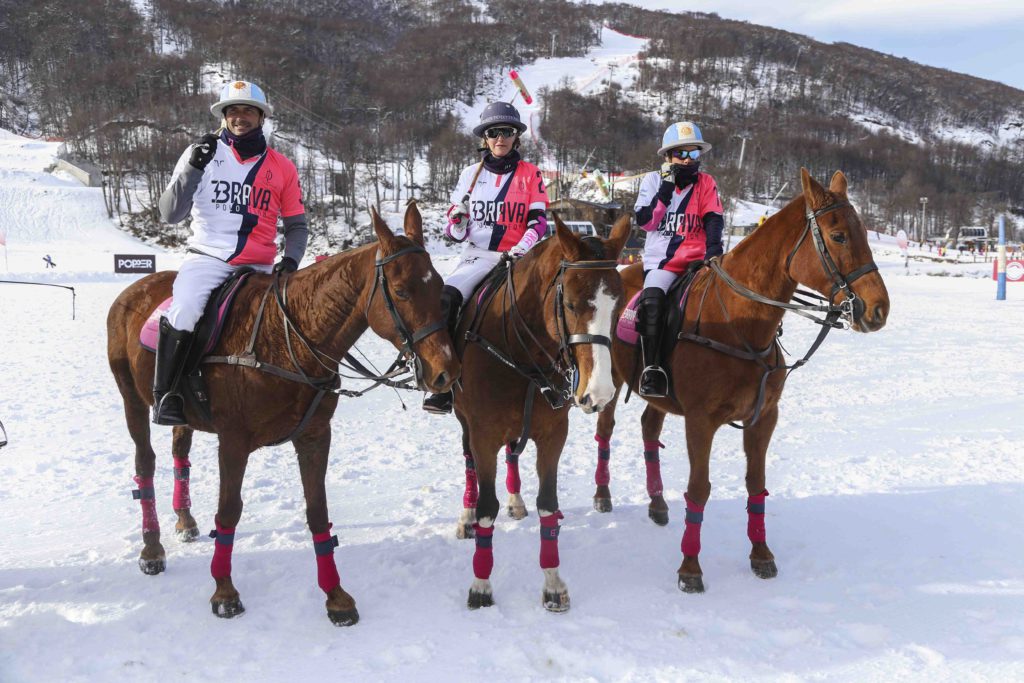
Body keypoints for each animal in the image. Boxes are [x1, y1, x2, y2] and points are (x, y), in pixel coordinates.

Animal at [105, 201, 458, 626]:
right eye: (402, 291)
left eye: (440, 288)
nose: (445, 372)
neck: (289, 340)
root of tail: (133, 288)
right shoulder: (234, 441)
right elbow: (229, 512)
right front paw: (224, 592)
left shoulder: (315, 434)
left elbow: (318, 512)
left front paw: (336, 598)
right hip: (131, 396)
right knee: (145, 461)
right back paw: (152, 550)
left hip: (182, 414)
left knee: (179, 452)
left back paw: (185, 521)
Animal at [456, 215, 630, 614]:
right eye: (571, 304)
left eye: (618, 305)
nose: (599, 393)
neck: (519, 350)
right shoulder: (483, 432)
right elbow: (487, 506)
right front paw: (481, 585)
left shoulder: (553, 434)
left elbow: (548, 506)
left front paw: (552, 584)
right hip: (463, 419)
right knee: (469, 461)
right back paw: (466, 516)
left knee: (512, 455)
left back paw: (516, 501)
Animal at [593, 169, 888, 593]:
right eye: (838, 236)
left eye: (864, 232)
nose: (879, 308)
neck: (740, 322)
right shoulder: (701, 420)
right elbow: (699, 489)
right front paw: (690, 568)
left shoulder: (764, 417)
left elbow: (756, 484)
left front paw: (761, 555)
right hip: (613, 378)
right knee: (606, 428)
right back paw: (603, 495)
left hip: (658, 393)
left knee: (650, 428)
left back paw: (658, 504)